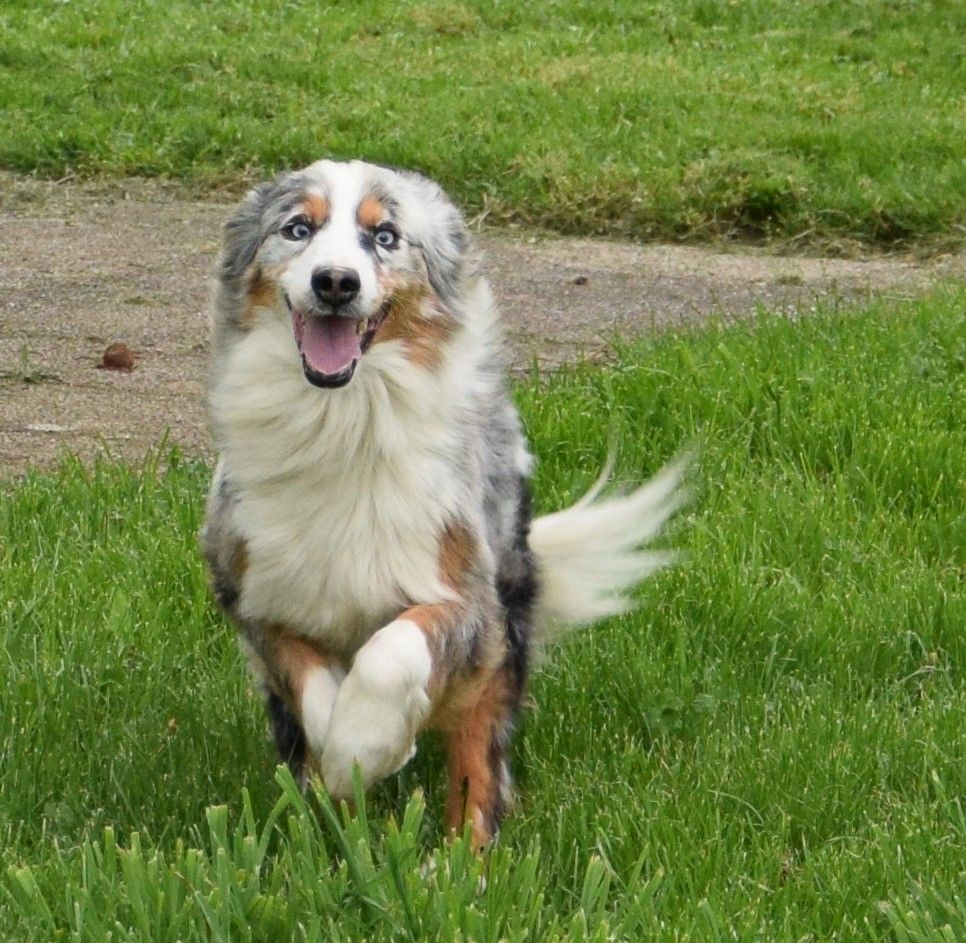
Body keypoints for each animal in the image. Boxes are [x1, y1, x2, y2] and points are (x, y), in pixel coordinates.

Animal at [204, 160, 688, 848]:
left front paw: (369, 744)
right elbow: (314, 690)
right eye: (297, 228)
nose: (335, 282)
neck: (341, 422)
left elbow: (392, 652)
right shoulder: (254, 596)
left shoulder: (469, 598)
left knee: (477, 758)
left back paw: (460, 859)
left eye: (385, 237)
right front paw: (351, 759)